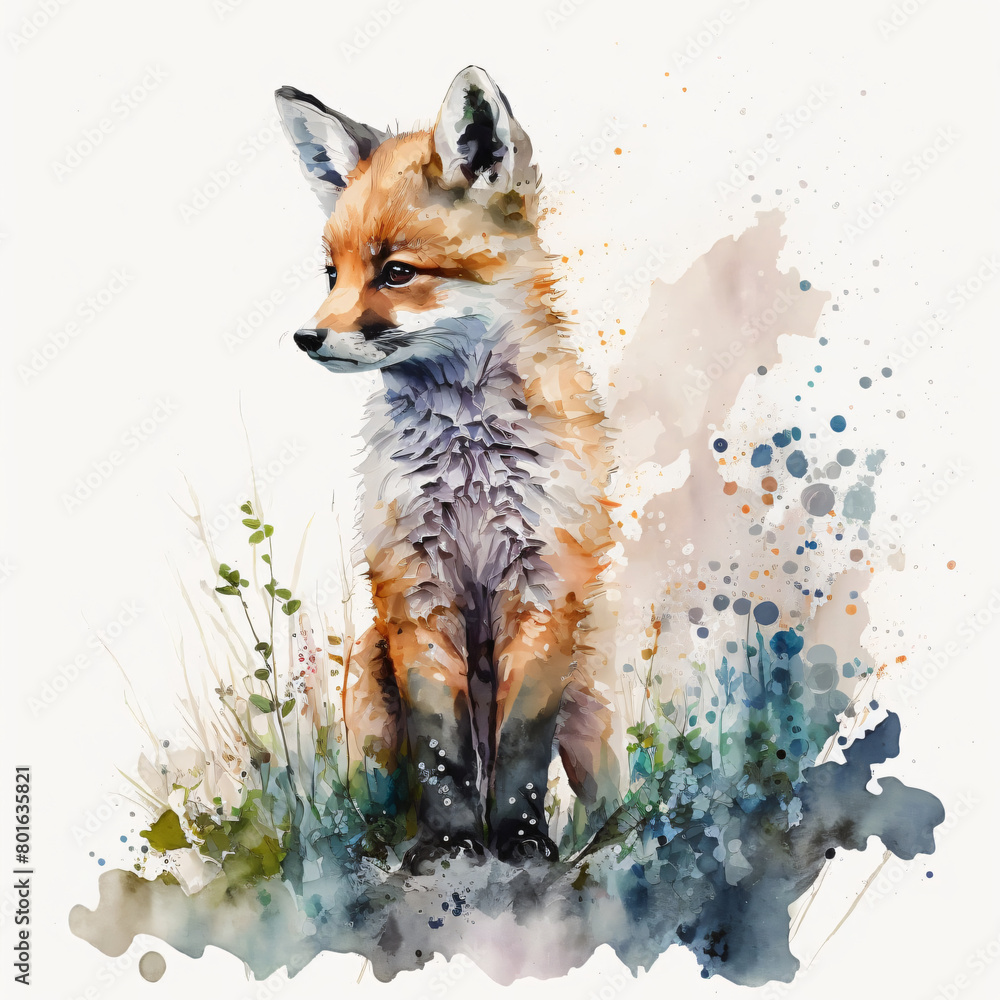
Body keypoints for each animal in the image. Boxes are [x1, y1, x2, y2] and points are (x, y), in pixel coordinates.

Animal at [275, 66, 619, 868]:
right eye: (332, 273)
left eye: (396, 271)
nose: (307, 337)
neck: (468, 462)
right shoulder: (414, 586)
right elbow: (442, 749)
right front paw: (450, 843)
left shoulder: (543, 584)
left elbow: (521, 746)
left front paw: (521, 840)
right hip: (367, 707)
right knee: (374, 801)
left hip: (593, 706)